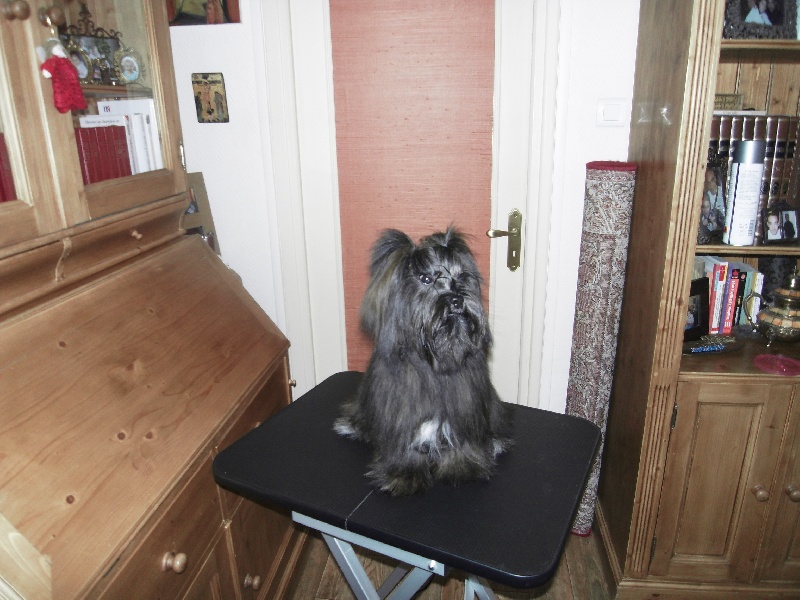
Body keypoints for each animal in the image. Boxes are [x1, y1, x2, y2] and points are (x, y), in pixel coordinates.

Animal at [334, 227, 513, 496]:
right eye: (426, 279)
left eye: (462, 277)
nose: (456, 300)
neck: (434, 362)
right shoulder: (401, 410)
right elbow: (405, 443)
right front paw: (404, 474)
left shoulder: (464, 403)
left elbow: (461, 438)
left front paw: (463, 466)